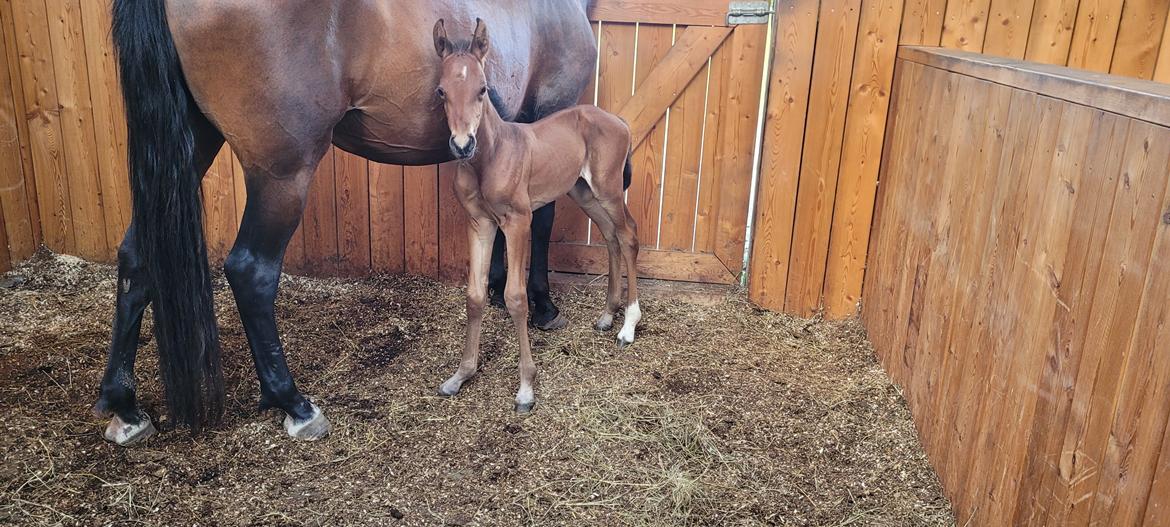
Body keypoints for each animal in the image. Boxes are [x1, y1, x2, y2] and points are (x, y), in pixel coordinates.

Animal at [435, 18, 645, 412]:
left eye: (482, 89)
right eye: (441, 91)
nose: (462, 144)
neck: (492, 155)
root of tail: (621, 120)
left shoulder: (518, 221)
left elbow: (516, 298)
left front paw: (526, 388)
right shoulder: (480, 223)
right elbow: (475, 295)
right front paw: (462, 374)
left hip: (608, 188)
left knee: (628, 235)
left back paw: (628, 325)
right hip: (583, 192)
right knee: (610, 235)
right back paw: (607, 316)